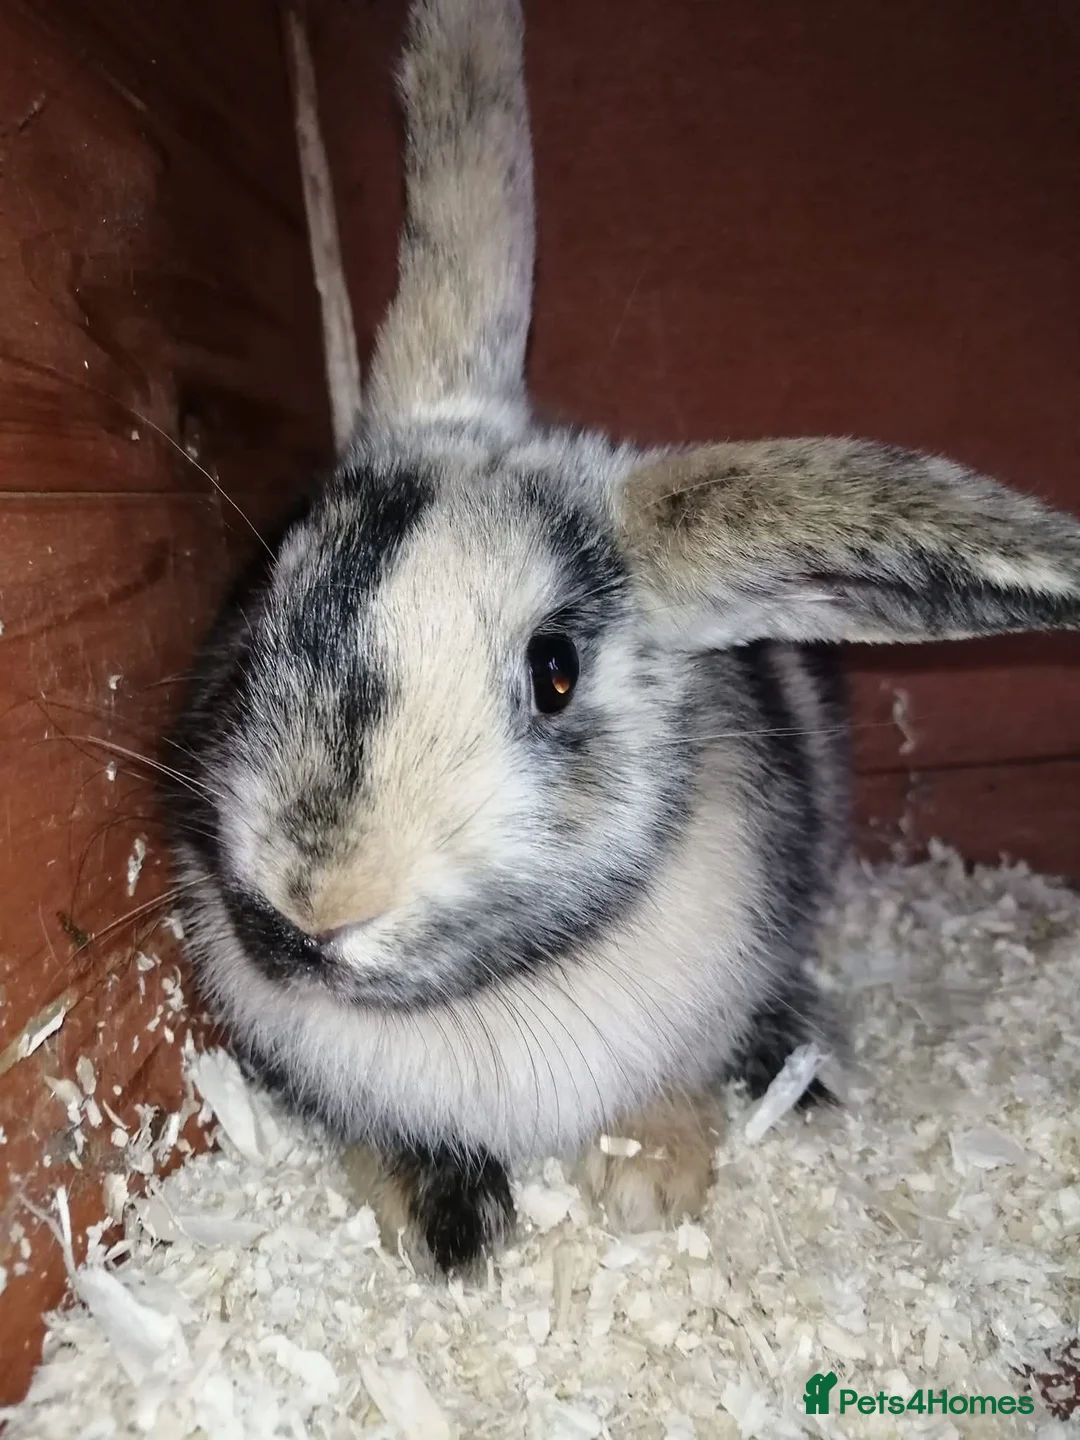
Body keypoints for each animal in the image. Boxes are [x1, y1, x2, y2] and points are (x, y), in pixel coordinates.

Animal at [165, 0, 1080, 1274]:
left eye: (555, 673)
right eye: (274, 589)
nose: (315, 900)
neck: (494, 1003)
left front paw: (649, 1188)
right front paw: (448, 1234)